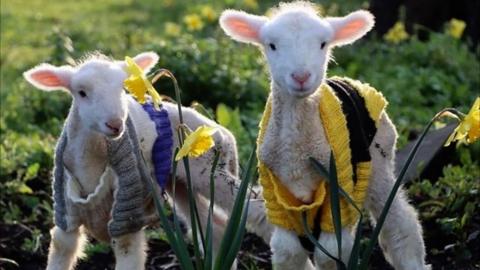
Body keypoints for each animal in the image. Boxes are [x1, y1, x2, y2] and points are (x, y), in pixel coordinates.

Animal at [23, 51, 270, 270]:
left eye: (123, 89)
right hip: (180, 183)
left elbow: (127, 250)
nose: (115, 124)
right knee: (216, 229)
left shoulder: (128, 210)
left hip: (210, 171)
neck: (90, 164)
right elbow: (62, 247)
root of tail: (222, 132)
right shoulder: (66, 212)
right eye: (81, 93)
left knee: (258, 211)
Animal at [220, 2, 428, 270]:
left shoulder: (338, 190)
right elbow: (287, 251)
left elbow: (330, 253)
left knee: (400, 220)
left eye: (323, 44)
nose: (301, 77)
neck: (296, 152)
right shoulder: (277, 195)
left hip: (378, 162)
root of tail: (351, 80)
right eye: (272, 45)